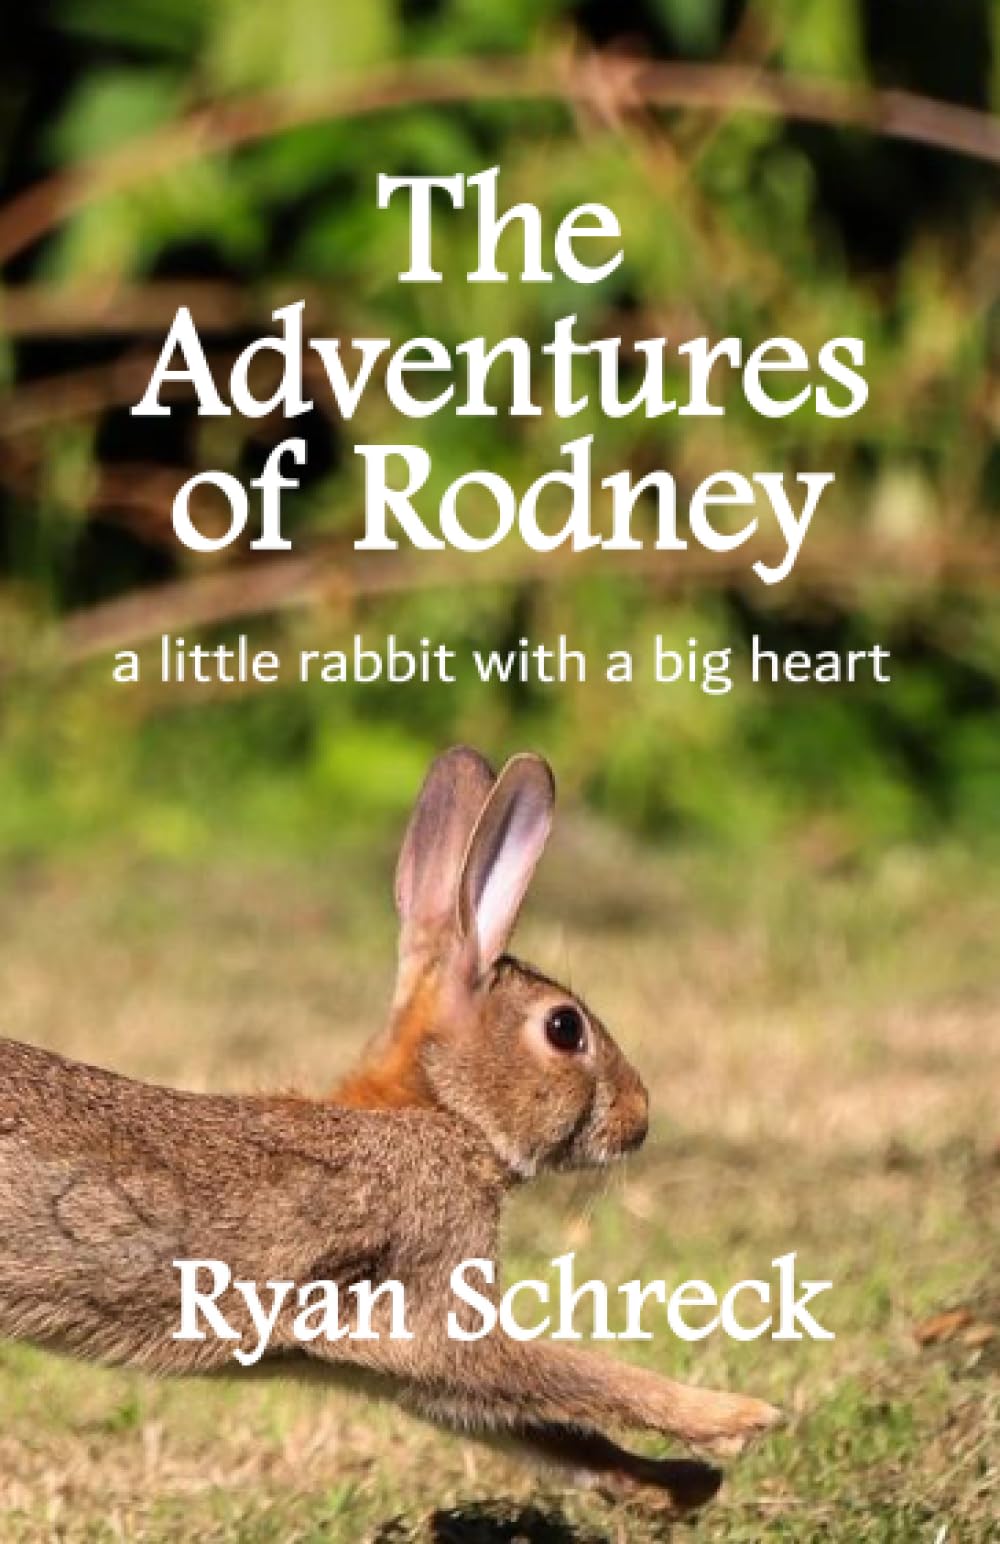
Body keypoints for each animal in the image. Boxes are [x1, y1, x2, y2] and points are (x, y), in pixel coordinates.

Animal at [0, 746, 781, 1513]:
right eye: (565, 1029)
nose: (640, 1118)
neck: (442, 1113)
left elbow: (544, 1430)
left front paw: (679, 1484)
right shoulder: (427, 1306)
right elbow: (573, 1374)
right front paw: (739, 1418)